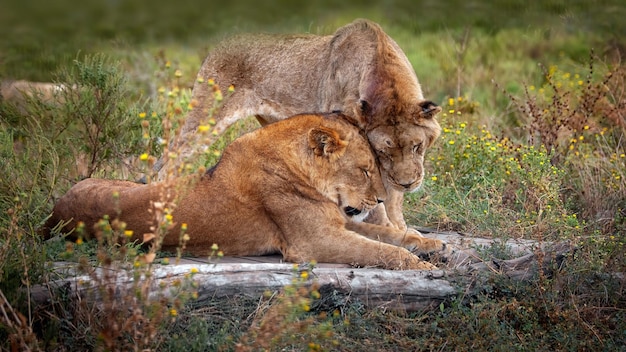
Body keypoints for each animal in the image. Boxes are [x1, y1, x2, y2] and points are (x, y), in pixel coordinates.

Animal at [42, 113, 444, 270]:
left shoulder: (336, 223)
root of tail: (54, 211)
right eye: (364, 170)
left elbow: (387, 235)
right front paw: (417, 264)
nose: (380, 200)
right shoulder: (313, 241)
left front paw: (430, 244)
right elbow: (379, 249)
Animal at [158, 19, 442, 234]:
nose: (409, 184)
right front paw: (391, 229)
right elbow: (376, 197)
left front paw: (401, 227)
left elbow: (392, 198)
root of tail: (220, 43)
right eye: (382, 152)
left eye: (417, 146)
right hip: (207, 118)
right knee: (167, 160)